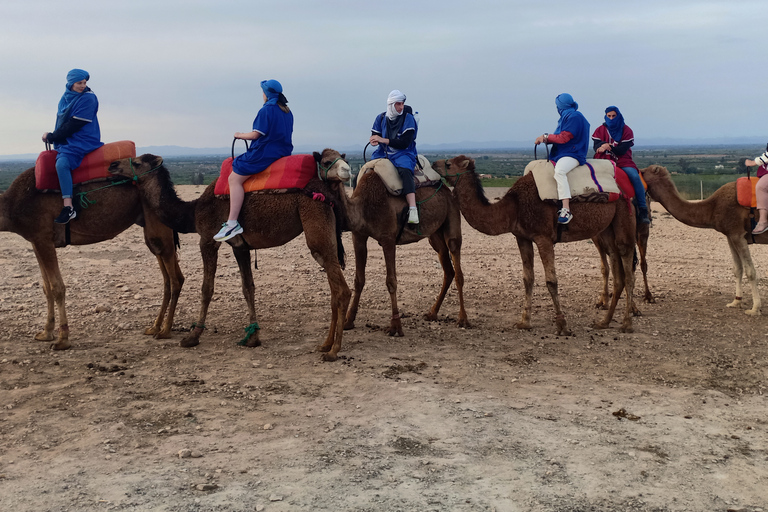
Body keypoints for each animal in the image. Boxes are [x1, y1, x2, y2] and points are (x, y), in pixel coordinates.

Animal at [0, 166, 183, 350]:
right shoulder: (36, 240)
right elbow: (46, 288)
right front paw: (46, 333)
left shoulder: (43, 237)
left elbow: (57, 287)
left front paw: (62, 340)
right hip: (151, 228)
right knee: (171, 277)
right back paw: (155, 327)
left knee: (174, 279)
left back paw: (165, 330)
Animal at [107, 151, 352, 360]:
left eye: (138, 162)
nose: (112, 165)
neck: (192, 211)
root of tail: (327, 192)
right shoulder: (239, 247)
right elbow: (248, 288)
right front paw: (252, 337)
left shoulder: (207, 239)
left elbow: (206, 288)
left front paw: (193, 336)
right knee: (334, 288)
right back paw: (325, 344)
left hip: (315, 222)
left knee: (342, 290)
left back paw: (334, 351)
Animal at [316, 150, 468, 338]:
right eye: (325, 161)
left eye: (345, 160)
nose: (345, 171)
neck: (364, 205)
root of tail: (447, 189)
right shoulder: (358, 236)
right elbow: (359, 279)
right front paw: (348, 321)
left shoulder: (388, 238)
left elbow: (391, 281)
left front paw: (395, 326)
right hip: (435, 235)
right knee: (448, 269)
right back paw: (432, 313)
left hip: (452, 217)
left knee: (457, 262)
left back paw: (463, 319)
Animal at [432, 154, 636, 334]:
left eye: (449, 164)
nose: (434, 163)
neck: (514, 207)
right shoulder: (522, 237)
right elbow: (527, 278)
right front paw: (524, 322)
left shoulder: (543, 237)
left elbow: (551, 281)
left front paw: (562, 326)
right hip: (607, 227)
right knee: (616, 263)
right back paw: (604, 322)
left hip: (624, 213)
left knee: (627, 264)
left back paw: (626, 324)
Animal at [640, 164, 760, 314]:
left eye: (642, 172)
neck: (713, 208)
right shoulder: (731, 235)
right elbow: (737, 269)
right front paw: (735, 302)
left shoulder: (737, 233)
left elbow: (750, 271)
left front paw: (754, 308)